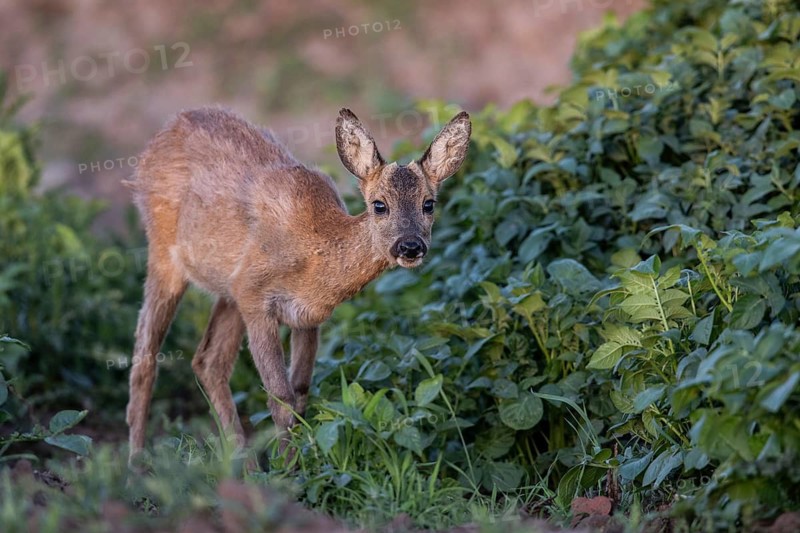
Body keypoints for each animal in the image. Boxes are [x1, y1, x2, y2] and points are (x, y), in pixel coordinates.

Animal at [125, 106, 471, 466]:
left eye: (429, 204)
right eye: (379, 204)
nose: (410, 246)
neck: (314, 252)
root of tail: (163, 134)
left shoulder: (306, 315)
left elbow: (301, 391)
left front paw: (297, 462)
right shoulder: (256, 298)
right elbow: (280, 397)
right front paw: (287, 470)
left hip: (229, 290)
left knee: (208, 361)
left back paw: (244, 465)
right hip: (165, 254)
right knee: (144, 357)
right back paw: (136, 462)